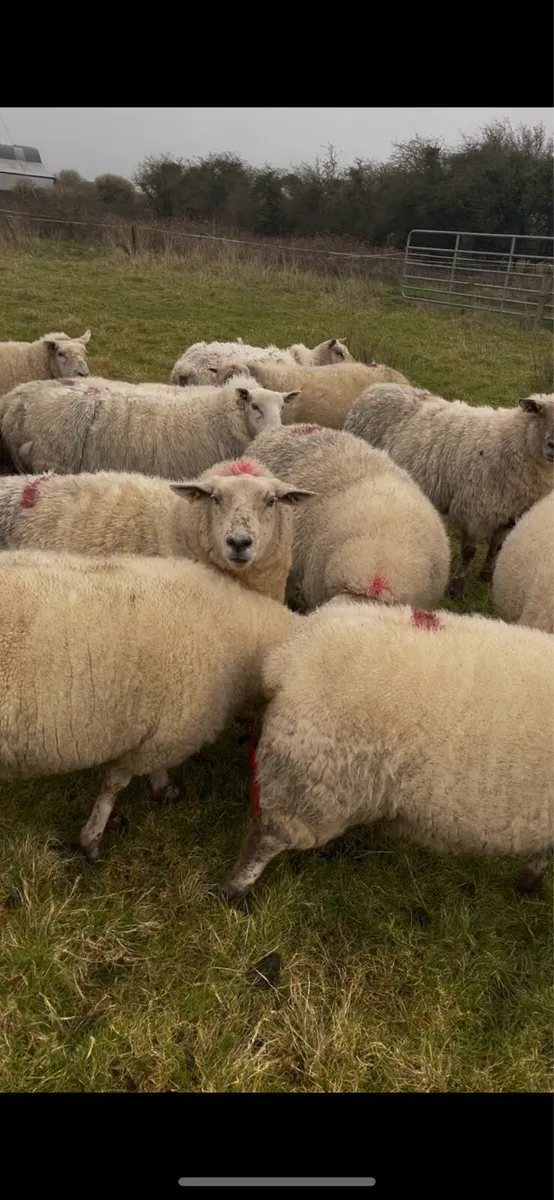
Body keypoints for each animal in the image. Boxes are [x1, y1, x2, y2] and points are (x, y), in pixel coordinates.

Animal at [345, 385, 554, 597]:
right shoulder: (473, 511)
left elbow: (497, 546)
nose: (552, 445)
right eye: (540, 413)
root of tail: (375, 388)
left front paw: (487, 574)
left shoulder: (511, 514)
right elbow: (469, 551)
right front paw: (456, 586)